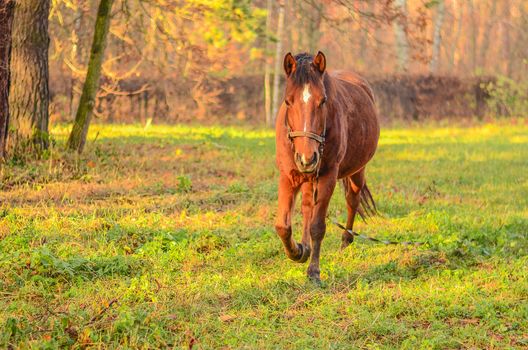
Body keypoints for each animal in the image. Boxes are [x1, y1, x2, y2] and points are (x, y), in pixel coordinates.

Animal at [272, 51, 380, 282]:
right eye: (287, 101)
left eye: (322, 101)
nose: (307, 158)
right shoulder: (288, 175)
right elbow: (283, 226)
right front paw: (298, 251)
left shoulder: (328, 176)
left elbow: (318, 226)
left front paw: (314, 271)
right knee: (306, 207)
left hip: (357, 172)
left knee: (352, 201)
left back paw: (345, 242)